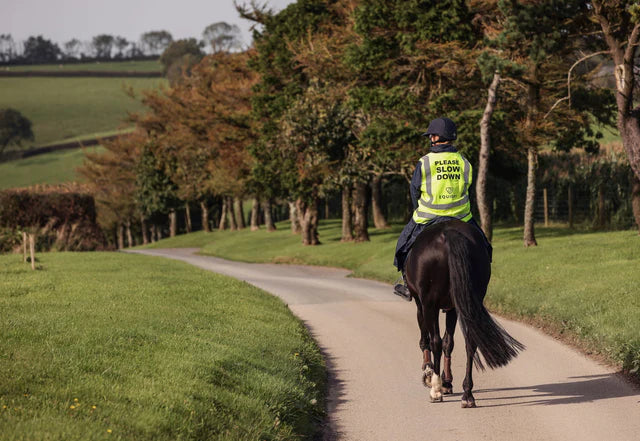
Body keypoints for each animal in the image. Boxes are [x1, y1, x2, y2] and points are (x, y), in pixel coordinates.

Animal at [404, 219, 524, 408]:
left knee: (436, 340)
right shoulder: (453, 307)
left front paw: (430, 373)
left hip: (430, 303)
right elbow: (449, 342)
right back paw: (467, 394)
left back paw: (436, 390)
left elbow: (428, 339)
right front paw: (447, 382)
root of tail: (448, 234)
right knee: (470, 342)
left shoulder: (421, 302)